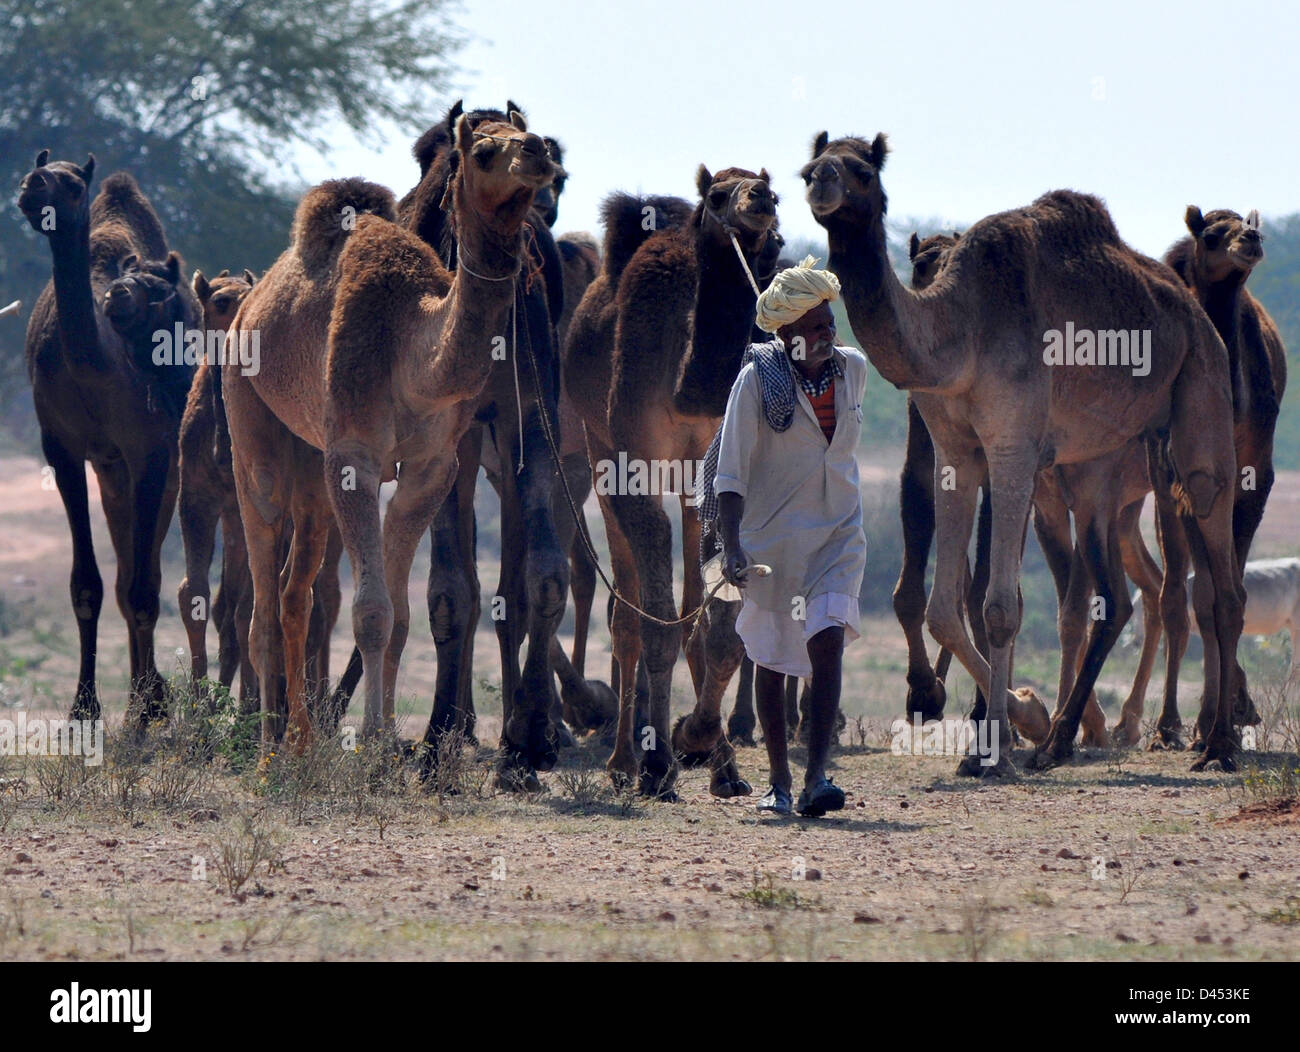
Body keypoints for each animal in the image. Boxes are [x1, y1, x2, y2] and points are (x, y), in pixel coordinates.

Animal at [19, 154, 197, 728]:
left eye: (74, 184)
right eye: (37, 172)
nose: (33, 186)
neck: (97, 362)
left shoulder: (151, 452)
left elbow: (143, 587)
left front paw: (147, 708)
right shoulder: (62, 448)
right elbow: (89, 585)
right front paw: (84, 707)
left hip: (160, 469)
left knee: (145, 575)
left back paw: (150, 696)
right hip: (111, 472)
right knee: (121, 576)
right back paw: (144, 690)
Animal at [226, 113, 556, 754]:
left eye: (530, 134)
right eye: (482, 151)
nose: (536, 151)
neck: (413, 348)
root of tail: (250, 301)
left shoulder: (432, 466)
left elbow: (401, 616)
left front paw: (380, 745)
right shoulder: (355, 454)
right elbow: (372, 611)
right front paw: (373, 743)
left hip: (313, 458)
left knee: (294, 592)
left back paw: (302, 739)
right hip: (248, 420)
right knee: (262, 576)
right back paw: (269, 749)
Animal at [806, 129, 1242, 769]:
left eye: (862, 170)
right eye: (809, 165)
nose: (821, 183)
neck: (961, 333)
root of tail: (1192, 310)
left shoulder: (1012, 446)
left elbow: (998, 607)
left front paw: (998, 746)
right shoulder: (955, 452)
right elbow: (944, 610)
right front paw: (1021, 719)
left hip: (1202, 384)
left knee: (1215, 546)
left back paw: (1217, 746)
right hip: (1102, 461)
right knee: (1118, 590)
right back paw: (1070, 736)